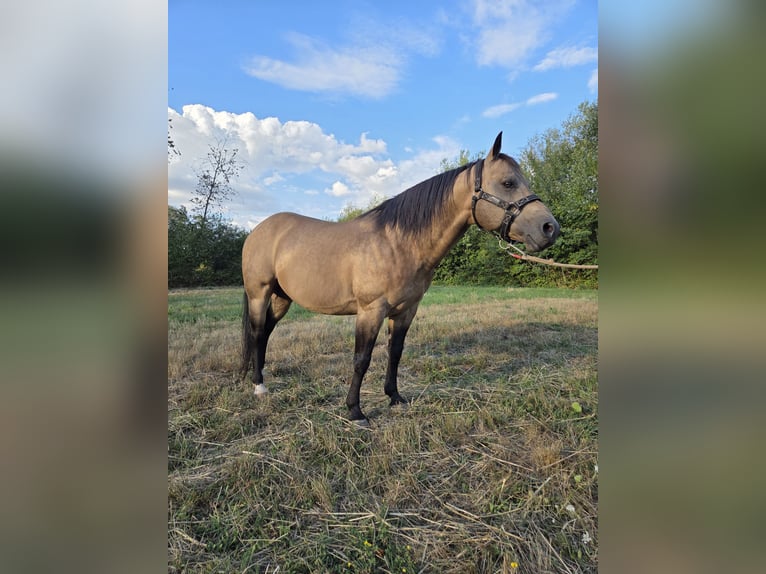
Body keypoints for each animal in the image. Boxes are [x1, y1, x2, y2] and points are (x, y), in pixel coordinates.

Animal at [240, 132, 560, 425]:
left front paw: (394, 397)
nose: (550, 228)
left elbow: (395, 353)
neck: (398, 242)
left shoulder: (406, 310)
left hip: (282, 298)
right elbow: (361, 359)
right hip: (260, 293)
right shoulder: (370, 311)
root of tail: (258, 230)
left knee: (265, 332)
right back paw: (258, 386)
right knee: (256, 332)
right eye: (507, 183)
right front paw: (355, 411)